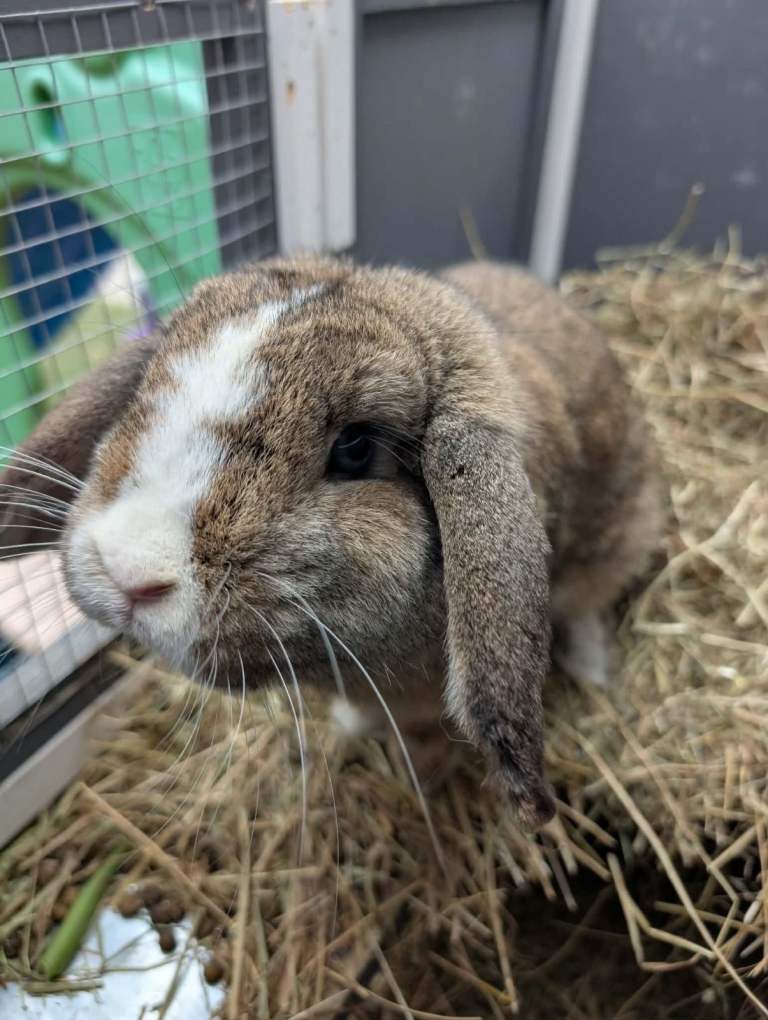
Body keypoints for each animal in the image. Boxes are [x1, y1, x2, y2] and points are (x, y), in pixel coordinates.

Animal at [0, 255, 661, 831]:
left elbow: (426, 750)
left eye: (357, 447)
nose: (125, 569)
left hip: (617, 538)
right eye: (145, 388)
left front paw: (416, 788)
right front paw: (347, 731)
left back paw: (593, 670)